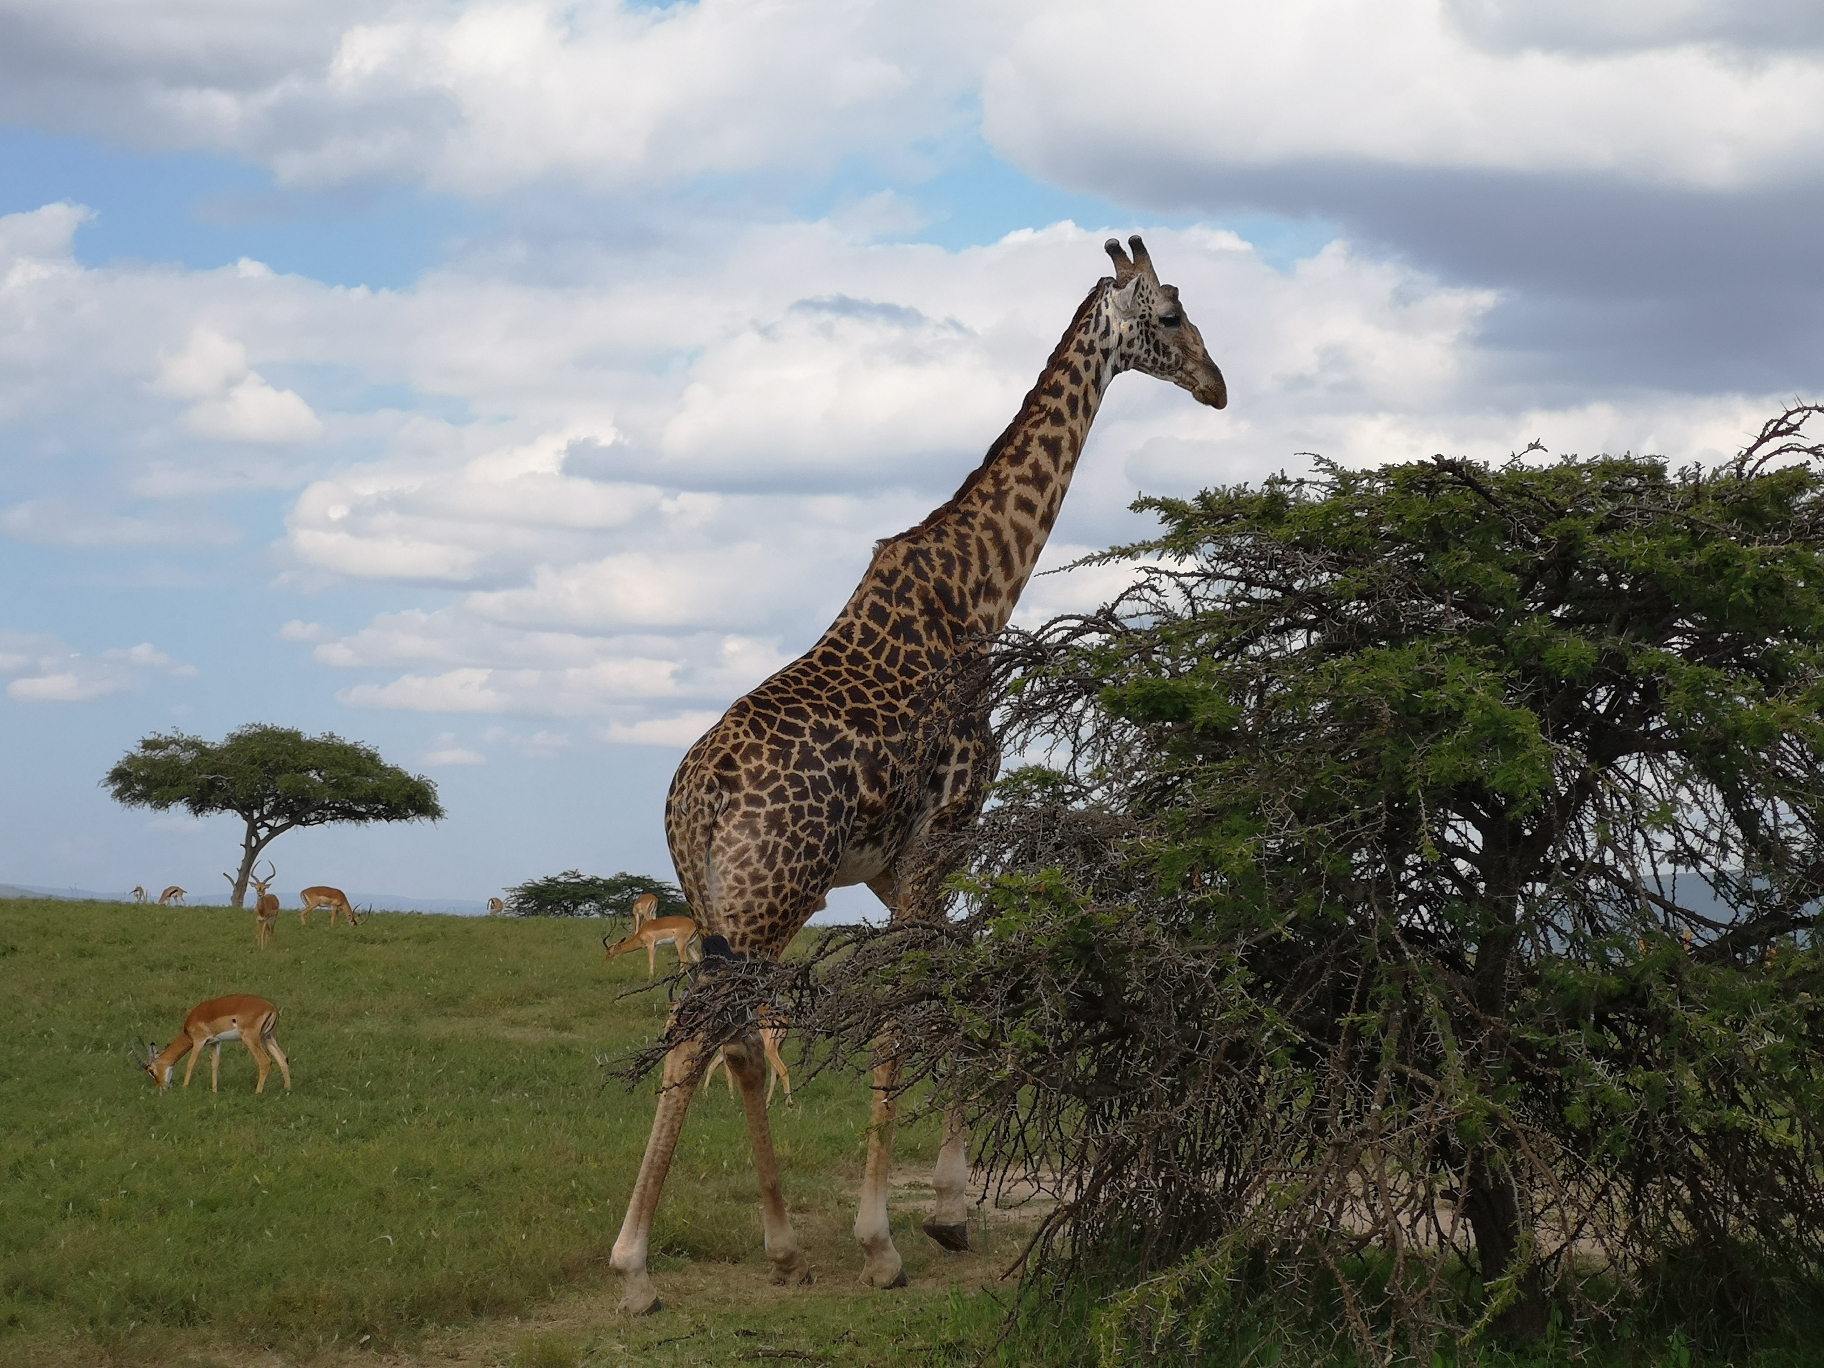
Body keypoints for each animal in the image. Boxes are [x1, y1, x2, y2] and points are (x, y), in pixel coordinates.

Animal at [612, 235, 1225, 1320]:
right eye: (1168, 315)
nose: (1219, 383)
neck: (980, 589)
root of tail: (693, 804)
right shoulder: (950, 826)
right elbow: (911, 1010)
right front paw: (885, 1239)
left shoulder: (901, 864)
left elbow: (954, 990)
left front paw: (945, 1207)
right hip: (771, 896)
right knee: (697, 1031)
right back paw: (637, 1268)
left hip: (727, 901)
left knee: (735, 1040)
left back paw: (781, 1249)